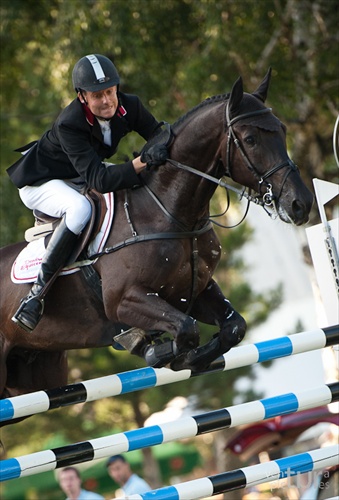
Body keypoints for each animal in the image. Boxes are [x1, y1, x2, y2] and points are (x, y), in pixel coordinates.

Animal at [0, 68, 314, 414]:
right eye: (250, 139)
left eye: (283, 130)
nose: (300, 204)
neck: (170, 211)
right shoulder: (124, 300)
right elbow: (187, 329)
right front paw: (158, 351)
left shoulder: (194, 290)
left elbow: (233, 327)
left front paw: (185, 356)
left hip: (35, 373)